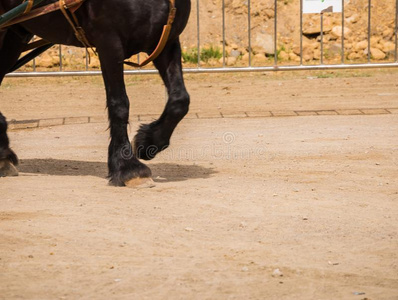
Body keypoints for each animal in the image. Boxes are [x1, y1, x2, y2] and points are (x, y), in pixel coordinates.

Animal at [0, 0, 191, 188]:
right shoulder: (109, 42)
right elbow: (119, 104)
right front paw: (128, 167)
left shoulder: (166, 41)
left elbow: (180, 100)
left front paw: (148, 142)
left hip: (13, 36)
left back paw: (3, 156)